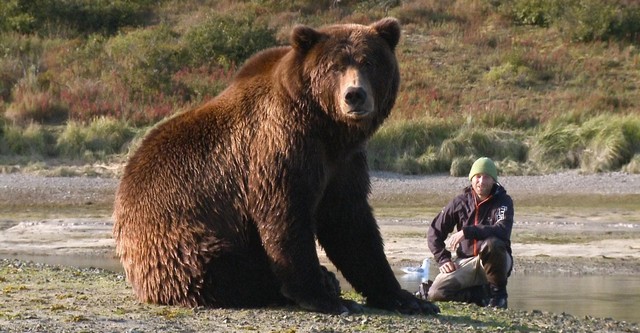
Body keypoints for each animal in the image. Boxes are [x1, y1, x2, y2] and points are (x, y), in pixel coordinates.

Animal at [111, 17, 440, 314]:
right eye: (334, 67)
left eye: (368, 62)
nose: (354, 95)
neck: (327, 127)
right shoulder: (280, 148)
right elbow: (286, 216)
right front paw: (326, 298)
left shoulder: (344, 162)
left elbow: (351, 224)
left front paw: (407, 299)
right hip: (179, 242)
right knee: (224, 268)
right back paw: (313, 282)